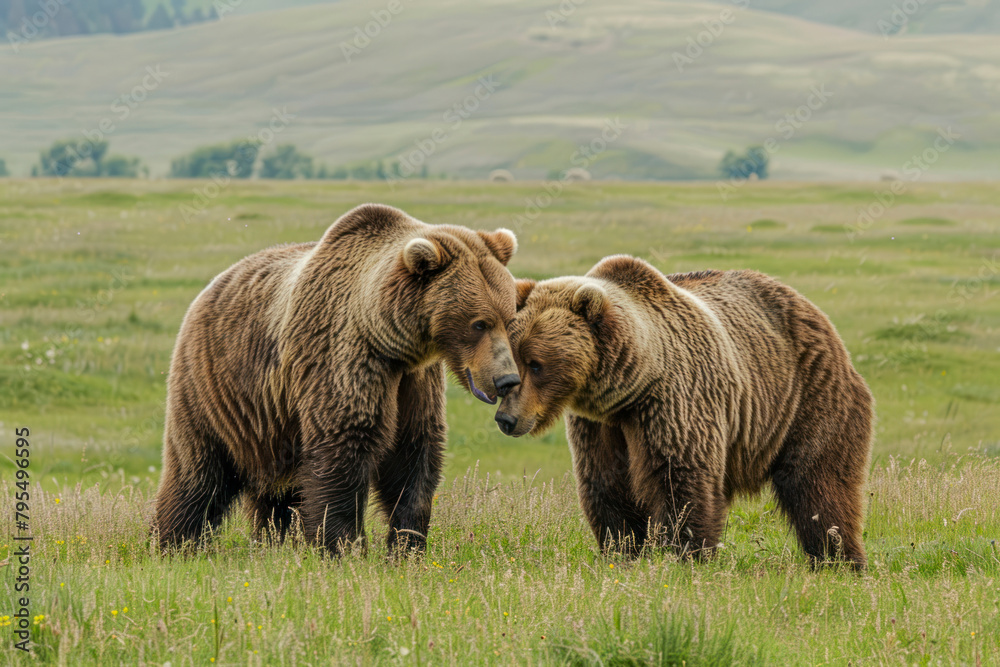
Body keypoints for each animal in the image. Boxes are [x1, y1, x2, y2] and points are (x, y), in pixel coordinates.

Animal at [154, 203, 522, 555]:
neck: (391, 341)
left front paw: (407, 544)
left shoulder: (414, 382)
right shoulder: (342, 358)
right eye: (479, 323)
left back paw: (272, 541)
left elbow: (413, 454)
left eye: (509, 318)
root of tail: (212, 286)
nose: (507, 380)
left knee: (274, 491)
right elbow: (345, 447)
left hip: (272, 419)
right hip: (216, 390)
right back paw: (176, 542)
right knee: (198, 473)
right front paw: (344, 545)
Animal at [494, 255, 874, 568]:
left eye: (537, 363)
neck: (630, 386)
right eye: (512, 359)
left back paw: (839, 558)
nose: (506, 419)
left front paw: (685, 554)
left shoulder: (676, 400)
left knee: (819, 482)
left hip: (806, 396)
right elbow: (607, 485)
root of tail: (814, 312)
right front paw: (624, 550)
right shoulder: (600, 426)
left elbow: (681, 477)